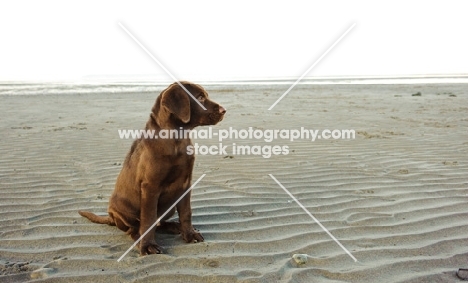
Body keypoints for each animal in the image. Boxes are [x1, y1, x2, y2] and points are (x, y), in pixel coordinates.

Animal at [79, 81, 226, 255]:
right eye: (200, 97)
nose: (224, 110)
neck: (177, 139)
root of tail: (111, 217)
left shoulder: (185, 183)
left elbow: (186, 212)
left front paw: (189, 233)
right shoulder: (150, 187)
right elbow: (148, 219)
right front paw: (148, 245)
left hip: (170, 207)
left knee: (159, 223)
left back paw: (174, 226)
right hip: (122, 211)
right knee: (135, 229)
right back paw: (139, 238)